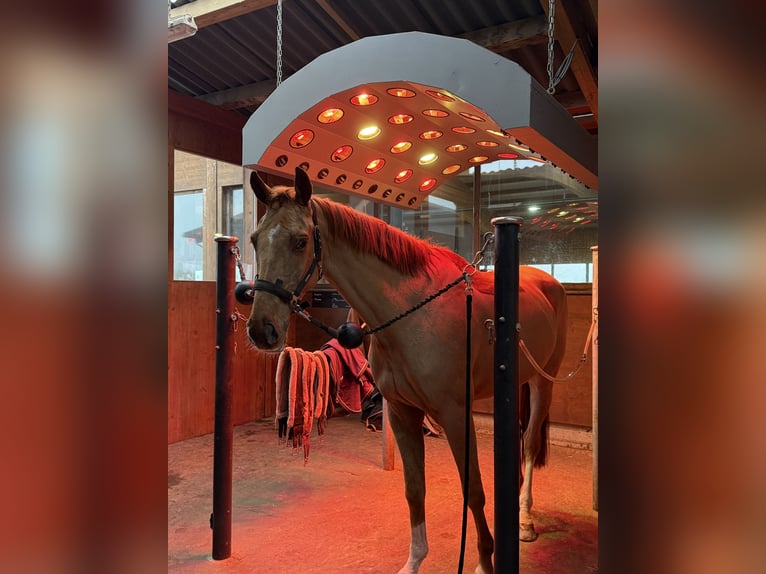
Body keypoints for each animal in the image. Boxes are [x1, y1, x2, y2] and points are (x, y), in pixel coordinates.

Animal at [245, 167, 568, 574]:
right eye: (255, 240)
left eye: (300, 241)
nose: (262, 330)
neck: (412, 312)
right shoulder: (402, 413)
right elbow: (414, 489)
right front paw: (414, 561)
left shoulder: (455, 415)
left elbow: (474, 490)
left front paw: (484, 562)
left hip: (544, 382)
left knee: (528, 444)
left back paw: (525, 521)